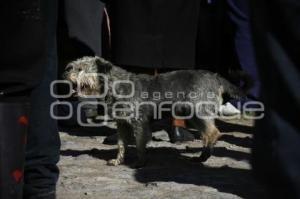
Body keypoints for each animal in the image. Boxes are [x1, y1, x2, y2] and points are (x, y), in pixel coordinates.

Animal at [63, 56, 246, 168]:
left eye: (81, 68)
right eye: (74, 66)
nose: (66, 71)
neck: (115, 84)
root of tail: (216, 76)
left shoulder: (139, 123)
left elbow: (139, 144)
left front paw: (140, 162)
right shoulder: (122, 124)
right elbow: (121, 144)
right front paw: (118, 160)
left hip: (198, 111)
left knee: (213, 132)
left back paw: (206, 151)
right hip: (194, 115)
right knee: (208, 132)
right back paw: (203, 156)